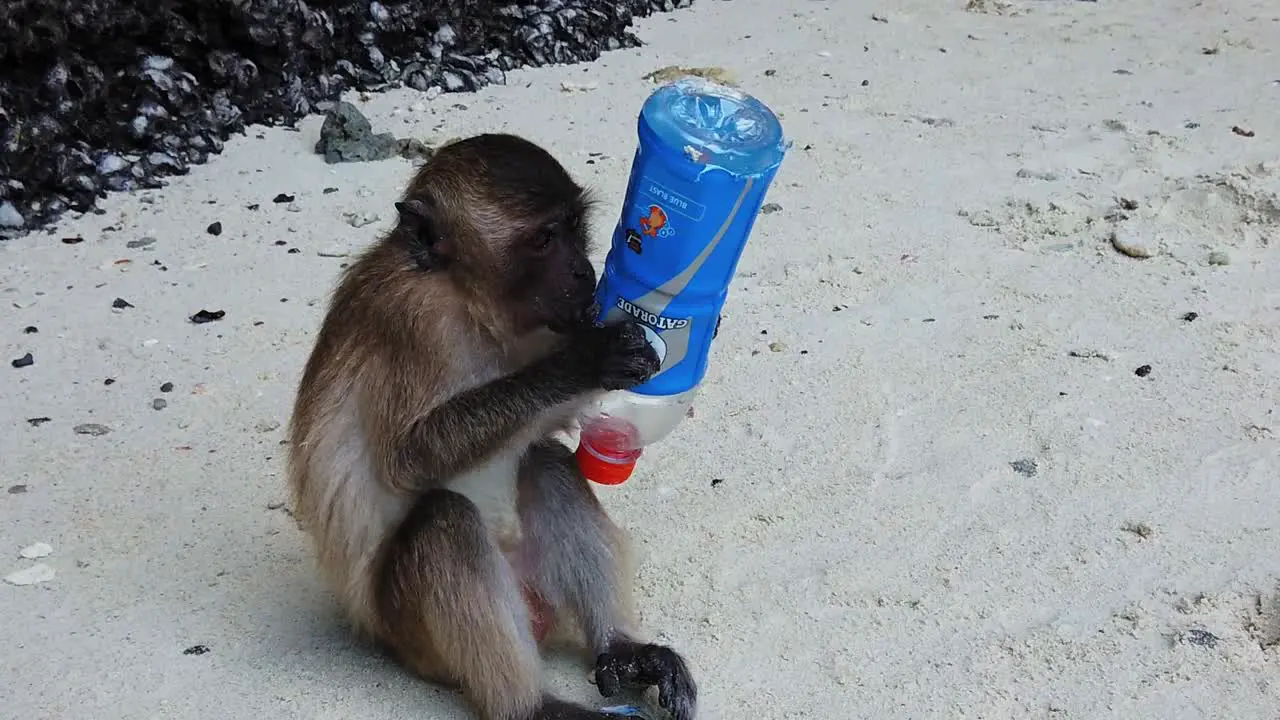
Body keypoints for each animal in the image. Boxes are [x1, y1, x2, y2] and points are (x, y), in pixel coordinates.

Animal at [288, 130, 701, 717]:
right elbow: (409, 460)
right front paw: (586, 359)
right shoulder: (413, 320)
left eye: (574, 226)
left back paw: (621, 650)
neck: (464, 298)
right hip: (412, 634)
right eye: (545, 239)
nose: (585, 272)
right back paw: (530, 706)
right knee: (445, 521)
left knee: (545, 462)